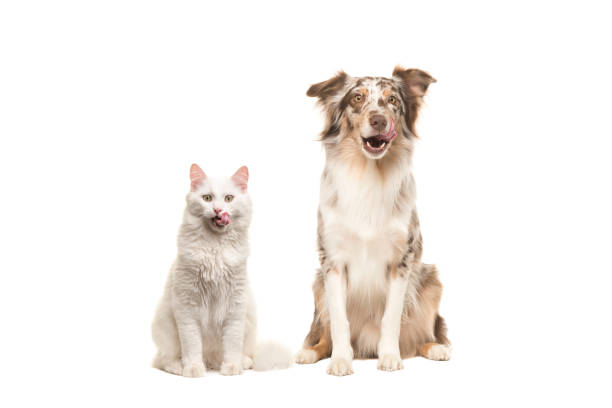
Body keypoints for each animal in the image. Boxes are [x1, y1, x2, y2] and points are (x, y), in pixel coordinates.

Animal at [151, 163, 290, 376]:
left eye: (229, 198)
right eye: (207, 198)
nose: (218, 209)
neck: (215, 247)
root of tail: (211, 360)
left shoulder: (235, 303)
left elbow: (232, 343)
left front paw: (232, 367)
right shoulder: (187, 305)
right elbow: (192, 345)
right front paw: (193, 369)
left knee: (245, 352)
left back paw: (241, 363)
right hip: (164, 324)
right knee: (164, 360)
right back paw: (180, 366)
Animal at [296, 67, 450, 376]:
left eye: (392, 100)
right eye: (357, 97)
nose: (379, 120)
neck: (368, 172)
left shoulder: (401, 261)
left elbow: (390, 317)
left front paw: (389, 357)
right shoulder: (332, 262)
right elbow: (339, 322)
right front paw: (341, 361)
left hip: (431, 281)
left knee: (420, 338)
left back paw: (435, 348)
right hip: (318, 285)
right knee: (325, 337)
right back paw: (310, 352)